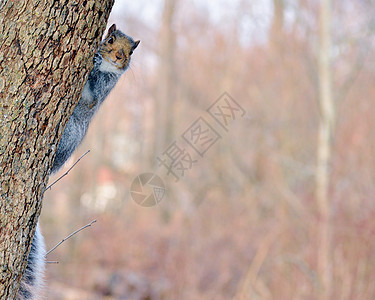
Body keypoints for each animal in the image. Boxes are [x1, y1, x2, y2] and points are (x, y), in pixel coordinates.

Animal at [18, 24, 140, 298]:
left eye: (131, 51)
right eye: (110, 39)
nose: (119, 57)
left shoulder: (102, 89)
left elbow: (92, 95)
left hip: (69, 133)